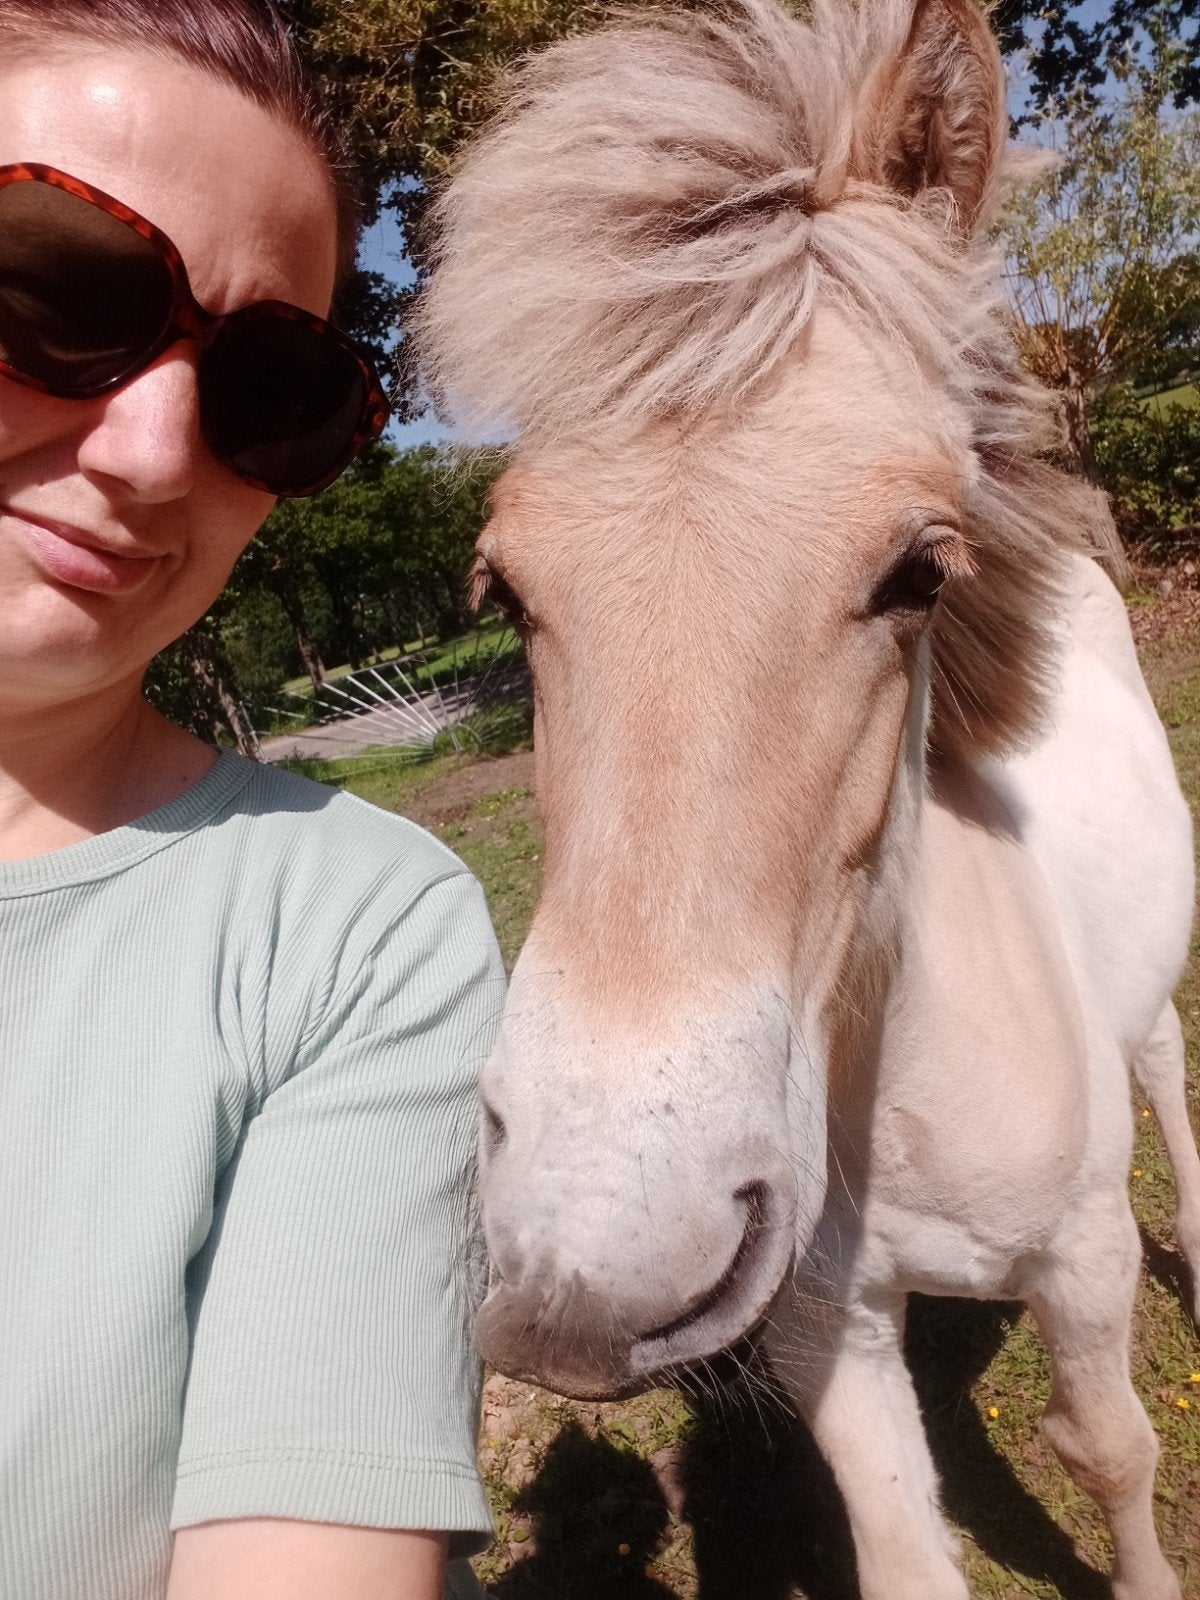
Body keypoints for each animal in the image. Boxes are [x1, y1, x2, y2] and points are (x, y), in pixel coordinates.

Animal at [416, 1, 1200, 1594]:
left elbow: (1112, 1453)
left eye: (921, 572)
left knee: (1166, 1060)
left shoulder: (1084, 1254)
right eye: (502, 589)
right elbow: (904, 1553)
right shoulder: (821, 1328)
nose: (583, 1270)